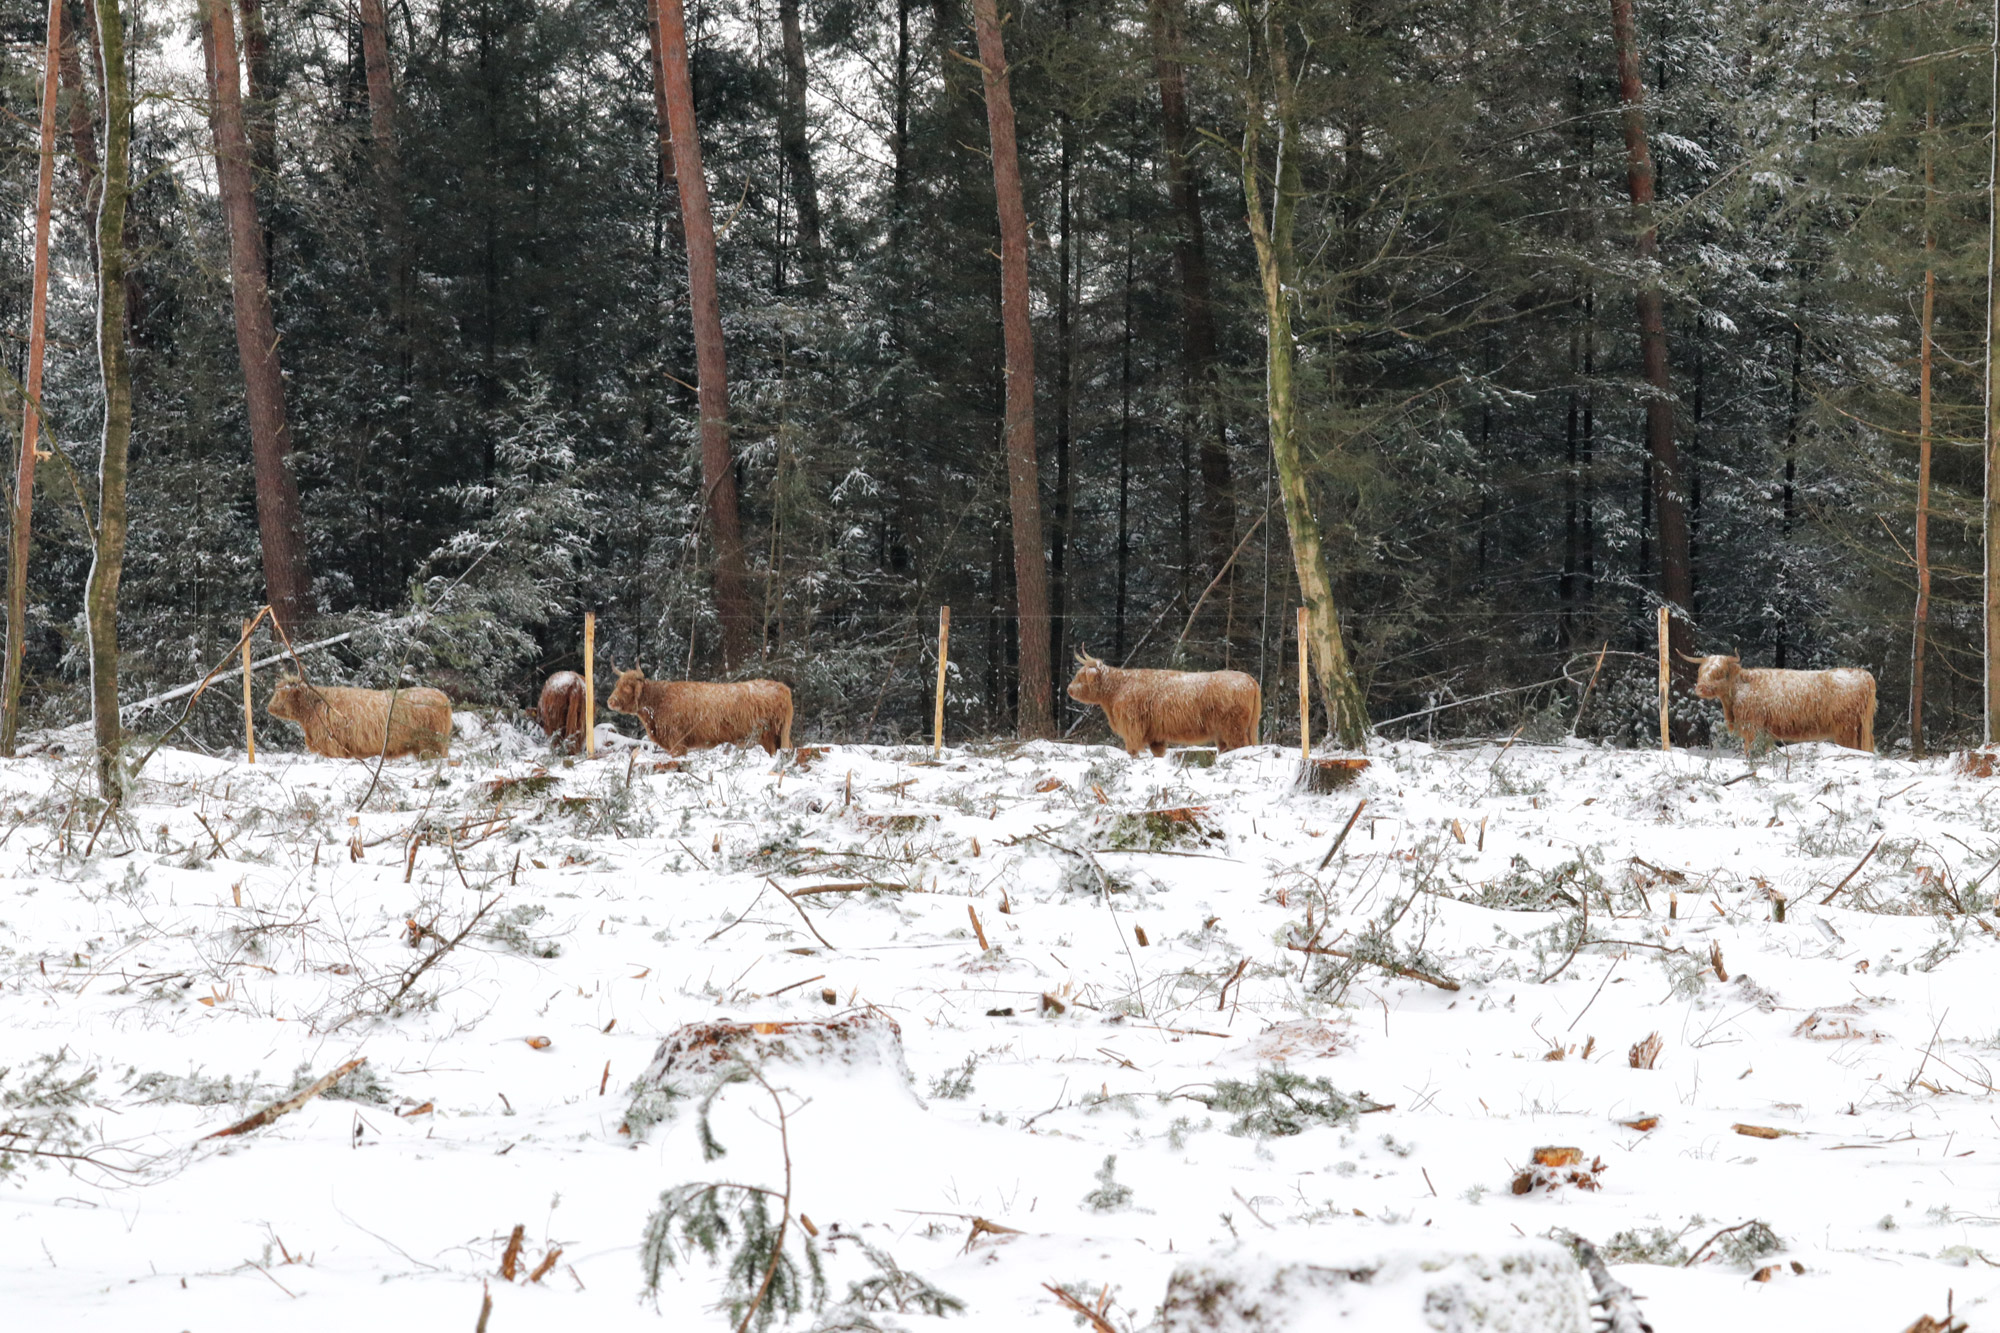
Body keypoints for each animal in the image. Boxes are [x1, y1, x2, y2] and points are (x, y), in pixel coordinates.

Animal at [604, 668, 792, 752]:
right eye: (617, 684)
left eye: (627, 687)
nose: (610, 701)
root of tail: (782, 687)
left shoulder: (677, 742)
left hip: (769, 736)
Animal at [1056, 648, 1256, 752]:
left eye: (1081, 676)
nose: (1069, 689)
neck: (1117, 690)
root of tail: (1249, 679)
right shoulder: (1155, 737)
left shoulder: (1133, 729)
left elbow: (1134, 751)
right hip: (1226, 733)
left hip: (1233, 729)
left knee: (1241, 746)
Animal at [1688, 648, 1872, 752]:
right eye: (1700, 671)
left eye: (1719, 672)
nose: (1700, 688)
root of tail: (1861, 673)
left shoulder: (1753, 728)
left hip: (1846, 729)